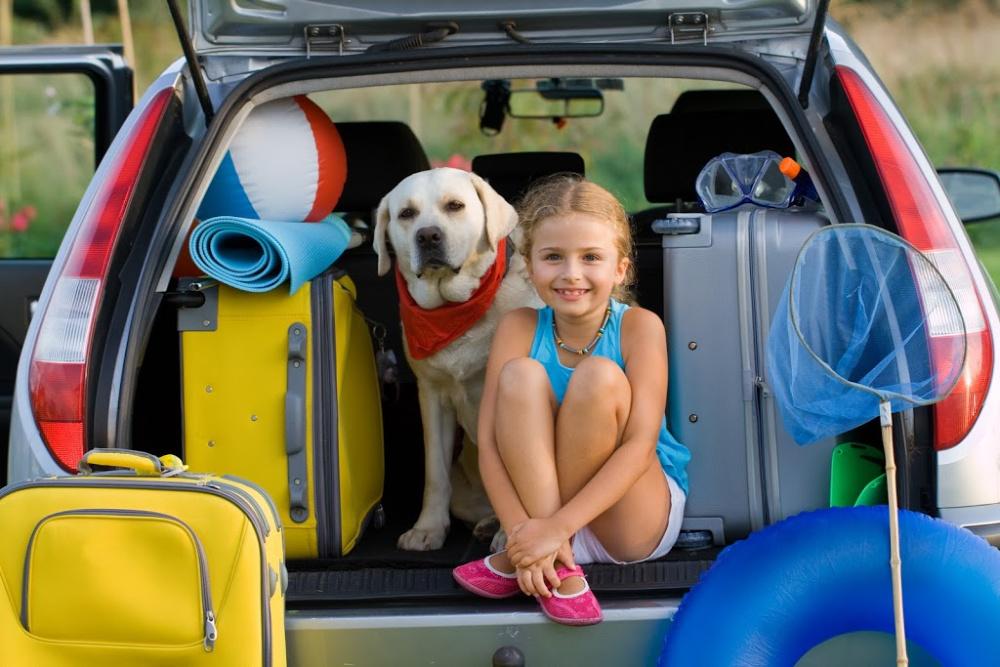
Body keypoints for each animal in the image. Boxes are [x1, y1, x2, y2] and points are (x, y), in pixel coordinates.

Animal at [374, 168, 540, 552]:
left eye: (455, 206)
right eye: (406, 214)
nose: (428, 235)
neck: (456, 309)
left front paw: (511, 536)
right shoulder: (432, 395)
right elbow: (434, 473)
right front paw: (428, 529)